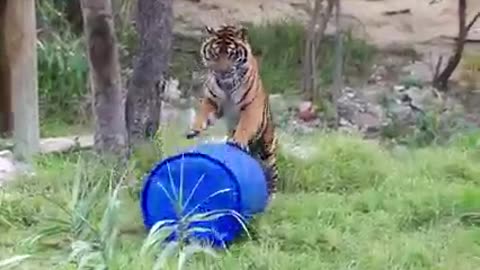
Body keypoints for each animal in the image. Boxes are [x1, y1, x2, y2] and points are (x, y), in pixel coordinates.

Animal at [186, 24, 280, 199]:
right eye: (215, 53)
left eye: (231, 55)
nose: (222, 71)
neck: (227, 84)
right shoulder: (213, 101)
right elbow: (202, 112)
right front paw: (194, 129)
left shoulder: (251, 108)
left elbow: (245, 126)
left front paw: (238, 141)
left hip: (268, 149)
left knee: (272, 175)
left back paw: (271, 196)